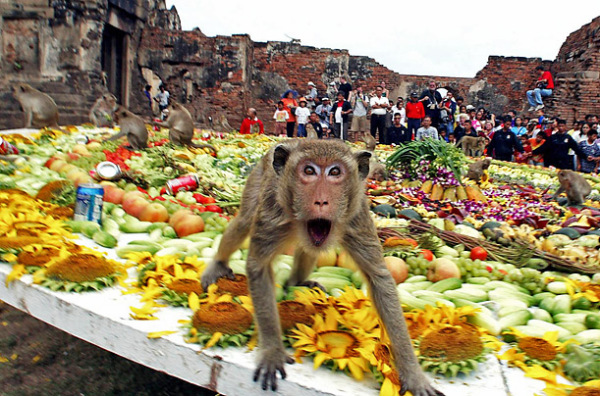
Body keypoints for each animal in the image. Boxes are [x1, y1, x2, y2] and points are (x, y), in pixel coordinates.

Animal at [204, 139, 442, 396]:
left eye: (335, 172)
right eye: (309, 171)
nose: (320, 201)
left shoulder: (356, 216)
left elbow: (379, 278)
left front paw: (412, 374)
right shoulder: (272, 212)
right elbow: (259, 267)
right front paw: (272, 351)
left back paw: (297, 282)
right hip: (258, 179)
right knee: (243, 221)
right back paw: (218, 264)